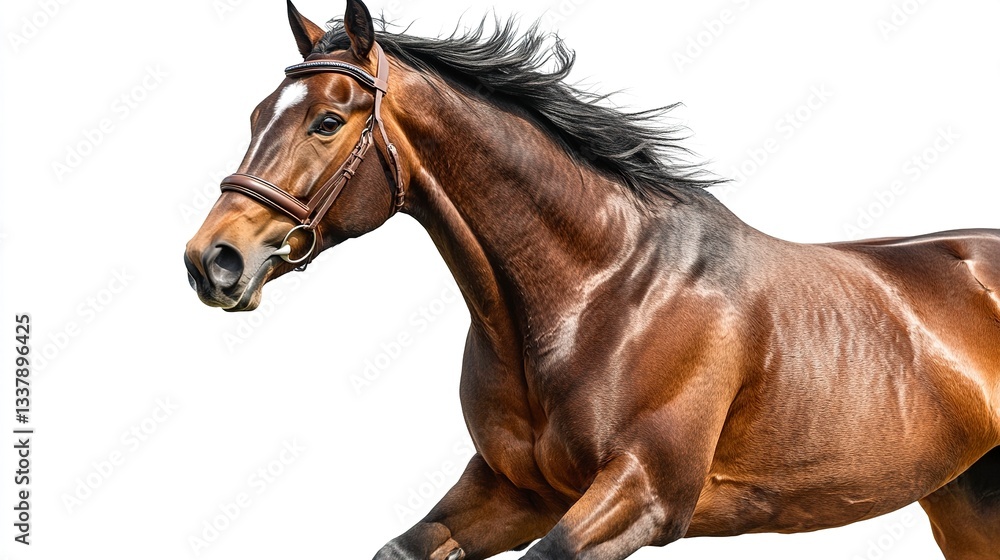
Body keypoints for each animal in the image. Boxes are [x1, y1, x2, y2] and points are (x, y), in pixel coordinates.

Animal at [184, 1, 1000, 558]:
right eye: (257, 114)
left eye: (328, 121)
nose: (212, 260)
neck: (601, 290)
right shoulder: (515, 492)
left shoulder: (643, 495)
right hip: (964, 503)